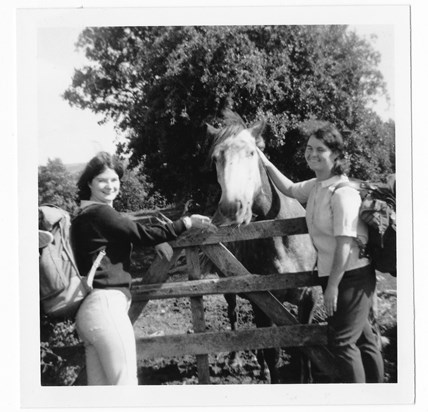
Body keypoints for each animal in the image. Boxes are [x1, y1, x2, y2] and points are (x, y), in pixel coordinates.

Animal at [206, 111, 320, 384]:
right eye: (216, 158)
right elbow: (273, 353)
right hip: (232, 291)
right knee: (234, 316)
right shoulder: (266, 301)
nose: (230, 209)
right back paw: (235, 361)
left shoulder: (309, 298)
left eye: (251, 153)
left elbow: (305, 351)